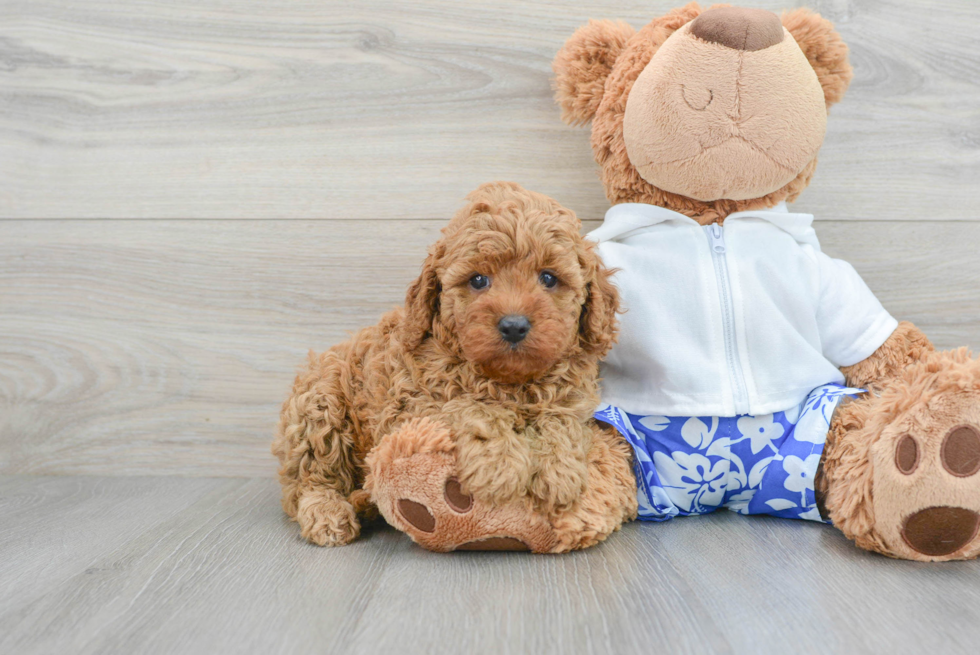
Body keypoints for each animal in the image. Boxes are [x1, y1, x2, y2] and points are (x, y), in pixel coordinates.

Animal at [270, 181, 636, 548]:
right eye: (478, 280)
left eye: (548, 278)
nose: (514, 325)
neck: (509, 380)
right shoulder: (412, 405)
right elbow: (473, 408)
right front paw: (499, 467)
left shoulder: (572, 396)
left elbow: (561, 420)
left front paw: (559, 472)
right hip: (318, 409)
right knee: (309, 481)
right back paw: (328, 514)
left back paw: (365, 503)